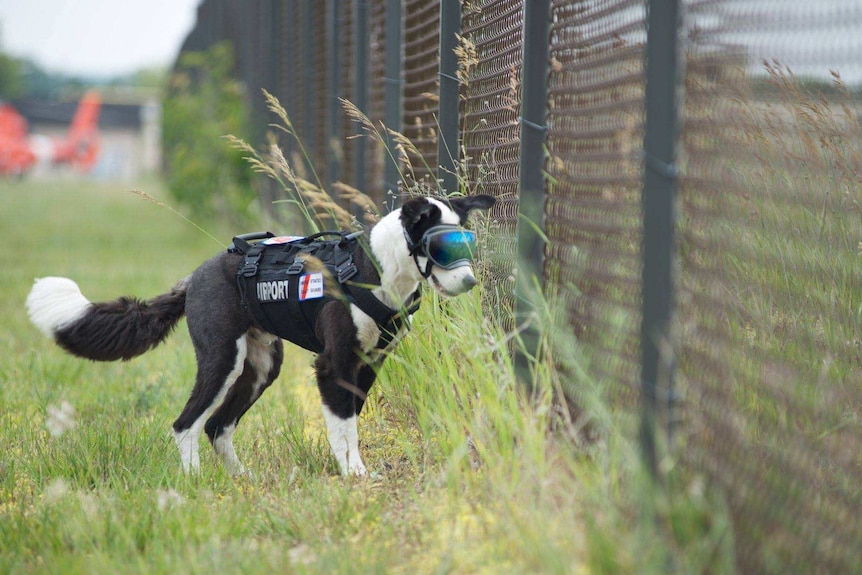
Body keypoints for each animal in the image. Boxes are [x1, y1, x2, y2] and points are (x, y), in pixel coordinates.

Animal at [27, 195, 496, 476]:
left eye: (466, 245)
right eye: (440, 247)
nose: (471, 282)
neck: (377, 269)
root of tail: (194, 277)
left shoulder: (368, 365)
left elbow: (350, 422)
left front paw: (354, 469)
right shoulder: (333, 364)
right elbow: (343, 426)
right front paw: (353, 474)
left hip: (261, 367)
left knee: (217, 425)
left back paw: (239, 478)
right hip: (222, 360)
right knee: (186, 423)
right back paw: (194, 481)